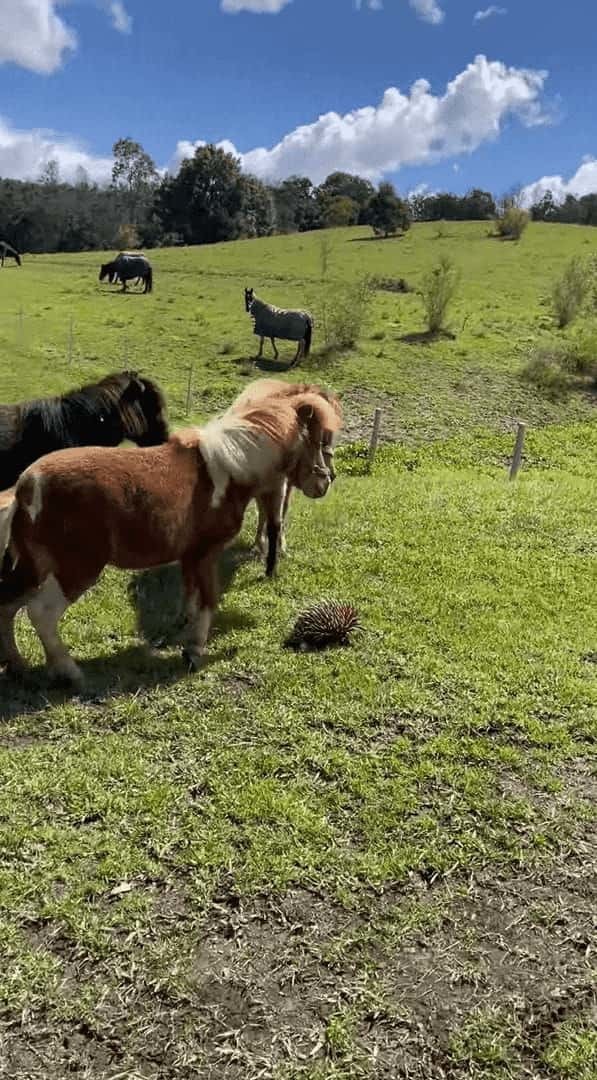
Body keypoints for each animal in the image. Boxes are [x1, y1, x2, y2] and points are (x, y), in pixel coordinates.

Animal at [226, 378, 338, 574]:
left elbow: (278, 514)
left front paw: (277, 546)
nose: (327, 480)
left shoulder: (282, 485)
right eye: (315, 441)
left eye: (329, 438)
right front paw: (259, 545)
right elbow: (263, 513)